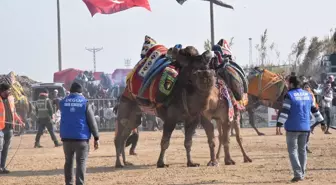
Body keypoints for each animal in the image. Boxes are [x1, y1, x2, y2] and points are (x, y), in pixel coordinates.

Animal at [114, 35, 217, 168]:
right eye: (195, 69)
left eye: (208, 66)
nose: (206, 74)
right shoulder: (170, 119)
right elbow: (165, 142)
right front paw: (161, 163)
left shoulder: (193, 120)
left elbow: (188, 142)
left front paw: (191, 163)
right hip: (125, 106)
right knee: (118, 138)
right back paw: (119, 163)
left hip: (134, 117)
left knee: (125, 135)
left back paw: (125, 162)